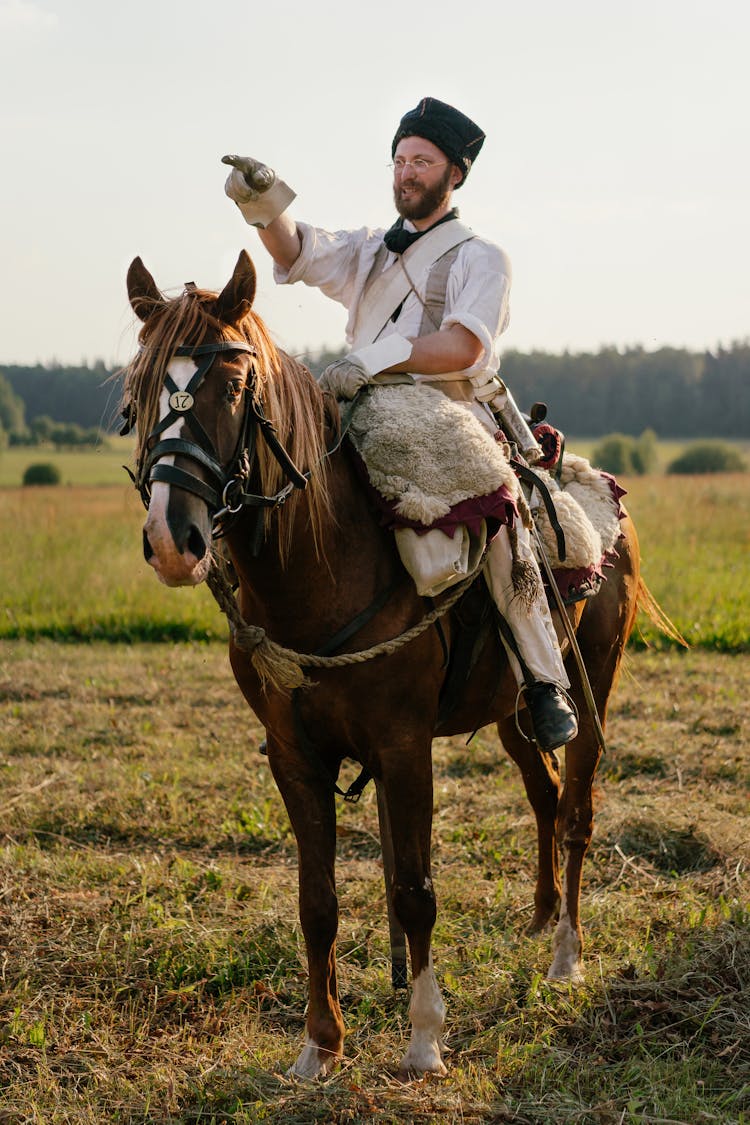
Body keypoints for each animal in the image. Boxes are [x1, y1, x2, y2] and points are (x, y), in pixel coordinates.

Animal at [125, 250, 643, 1075]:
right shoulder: (293, 756)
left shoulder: (404, 749)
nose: (174, 539)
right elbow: (318, 899)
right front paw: (320, 1044)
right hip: (513, 713)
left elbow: (414, 889)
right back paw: (539, 918)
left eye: (232, 387)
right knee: (545, 790)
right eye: (138, 390)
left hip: (594, 692)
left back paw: (566, 954)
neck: (323, 567)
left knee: (576, 812)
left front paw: (425, 1035)